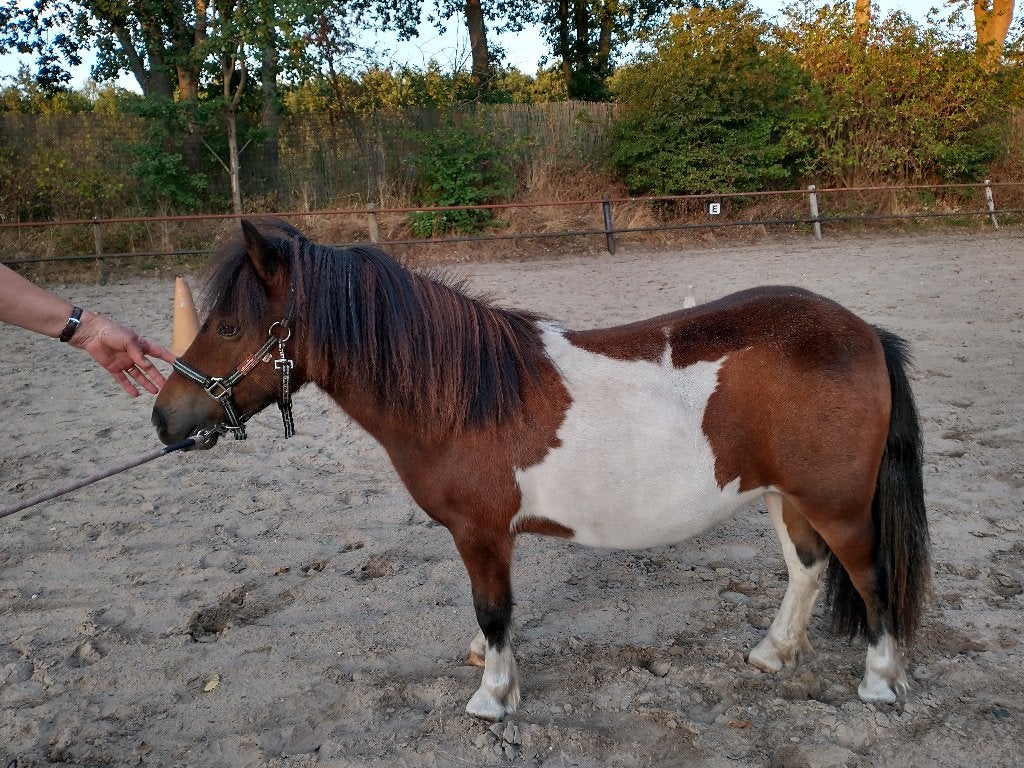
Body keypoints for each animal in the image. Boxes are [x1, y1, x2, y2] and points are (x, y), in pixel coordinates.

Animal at [152, 219, 930, 721]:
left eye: (230, 327)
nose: (165, 419)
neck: (463, 394)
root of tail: (863, 332)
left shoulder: (482, 532)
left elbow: (493, 609)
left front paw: (494, 698)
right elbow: (493, 612)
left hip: (838, 505)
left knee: (871, 579)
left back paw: (880, 683)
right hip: (783, 495)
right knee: (807, 569)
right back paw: (774, 653)